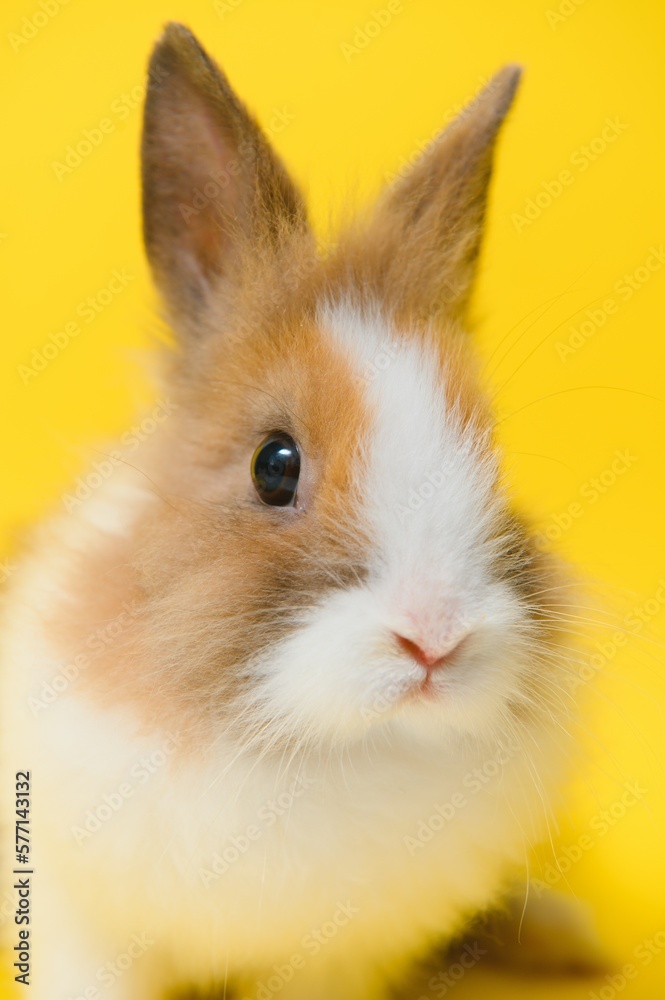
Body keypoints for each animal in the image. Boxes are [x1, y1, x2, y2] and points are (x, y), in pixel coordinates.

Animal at [1, 19, 600, 1000]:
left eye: (490, 455)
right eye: (273, 466)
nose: (435, 639)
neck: (314, 749)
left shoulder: (338, 954)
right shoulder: (80, 912)